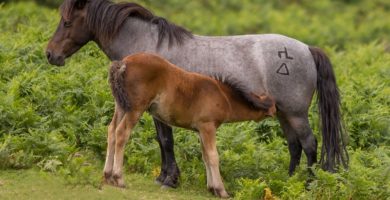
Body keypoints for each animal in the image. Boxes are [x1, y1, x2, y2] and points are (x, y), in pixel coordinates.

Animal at [102, 52, 276, 198]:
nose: (274, 113)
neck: (223, 95)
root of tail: (124, 63)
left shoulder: (200, 130)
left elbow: (205, 156)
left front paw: (211, 188)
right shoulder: (208, 126)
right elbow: (213, 156)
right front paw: (221, 191)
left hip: (121, 106)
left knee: (111, 131)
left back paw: (107, 175)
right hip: (135, 109)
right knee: (121, 133)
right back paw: (118, 178)